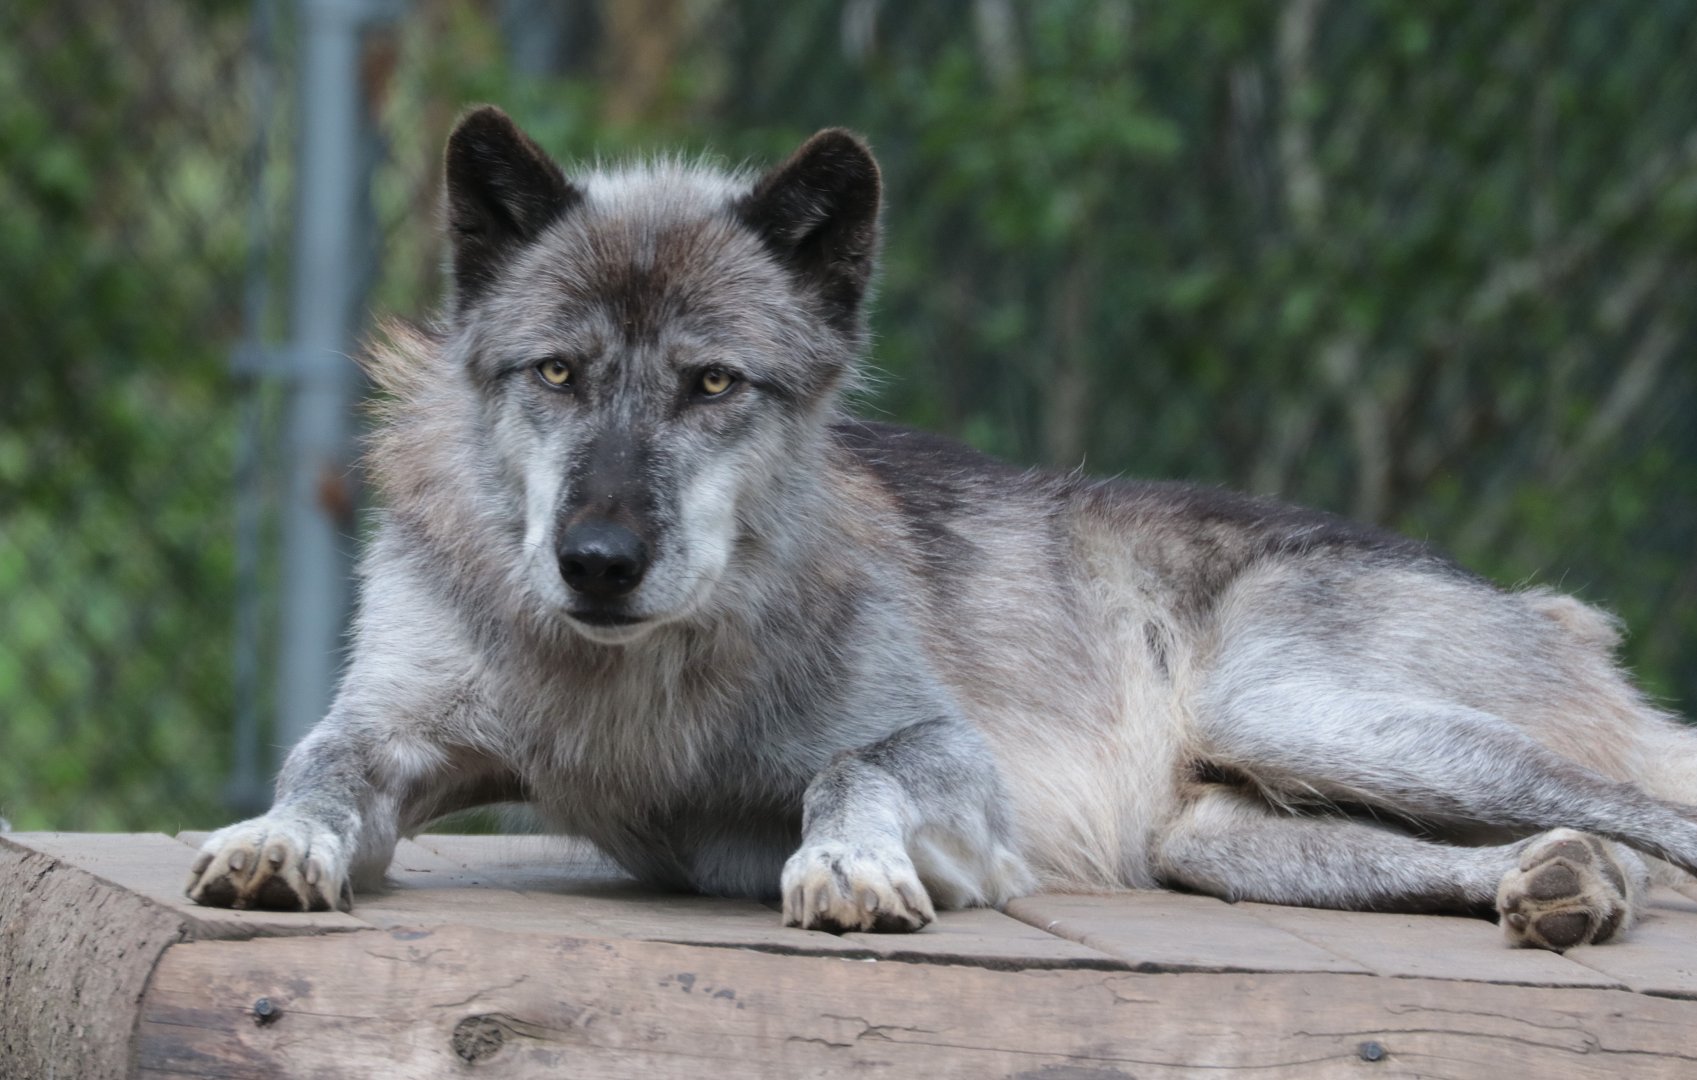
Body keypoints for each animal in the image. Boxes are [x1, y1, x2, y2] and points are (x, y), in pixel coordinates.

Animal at [189, 106, 1697, 951]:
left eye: (712, 385)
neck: (630, 681)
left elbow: (847, 775)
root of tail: (1542, 609)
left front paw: (850, 863)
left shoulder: (950, 760)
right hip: (1227, 835)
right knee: (1574, 845)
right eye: (556, 374)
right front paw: (274, 841)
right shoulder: (396, 731)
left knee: (1656, 806)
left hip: (1310, 716)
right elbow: (321, 765)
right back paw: (1561, 887)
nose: (597, 562)